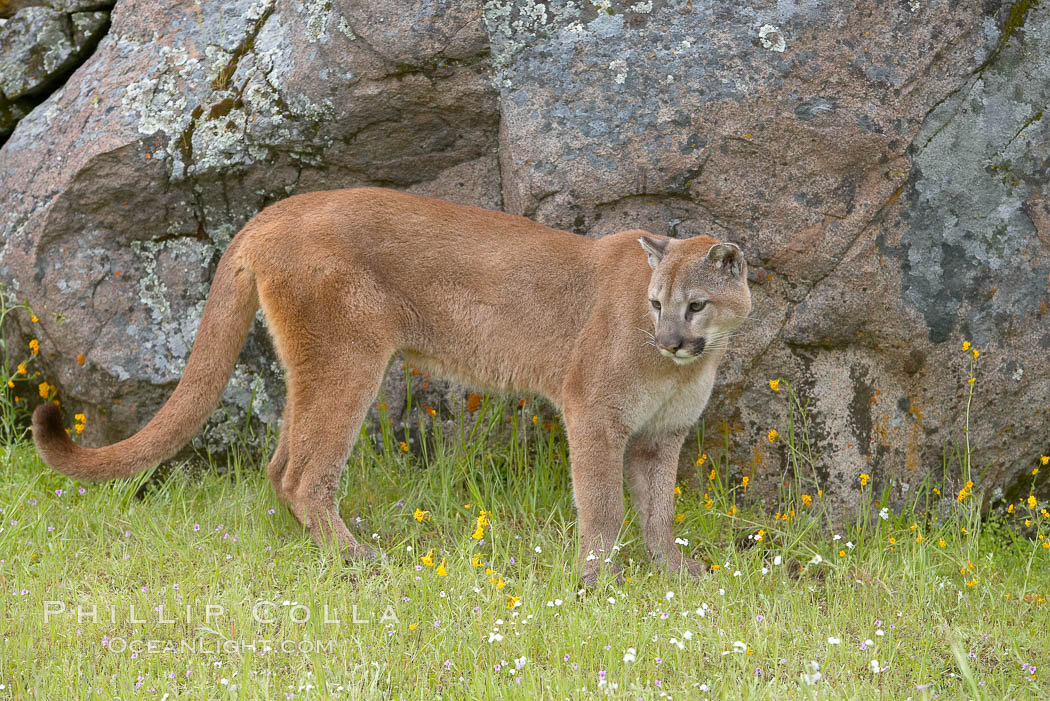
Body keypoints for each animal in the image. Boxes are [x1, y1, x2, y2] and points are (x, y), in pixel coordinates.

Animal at [32, 187, 751, 587]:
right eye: (655, 304)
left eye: (695, 305)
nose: (668, 338)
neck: (682, 368)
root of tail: (276, 211)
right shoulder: (594, 415)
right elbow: (603, 506)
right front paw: (598, 581)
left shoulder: (661, 436)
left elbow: (658, 511)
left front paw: (674, 574)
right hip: (348, 358)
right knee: (305, 473)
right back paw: (357, 559)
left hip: (317, 367)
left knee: (281, 463)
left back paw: (318, 548)